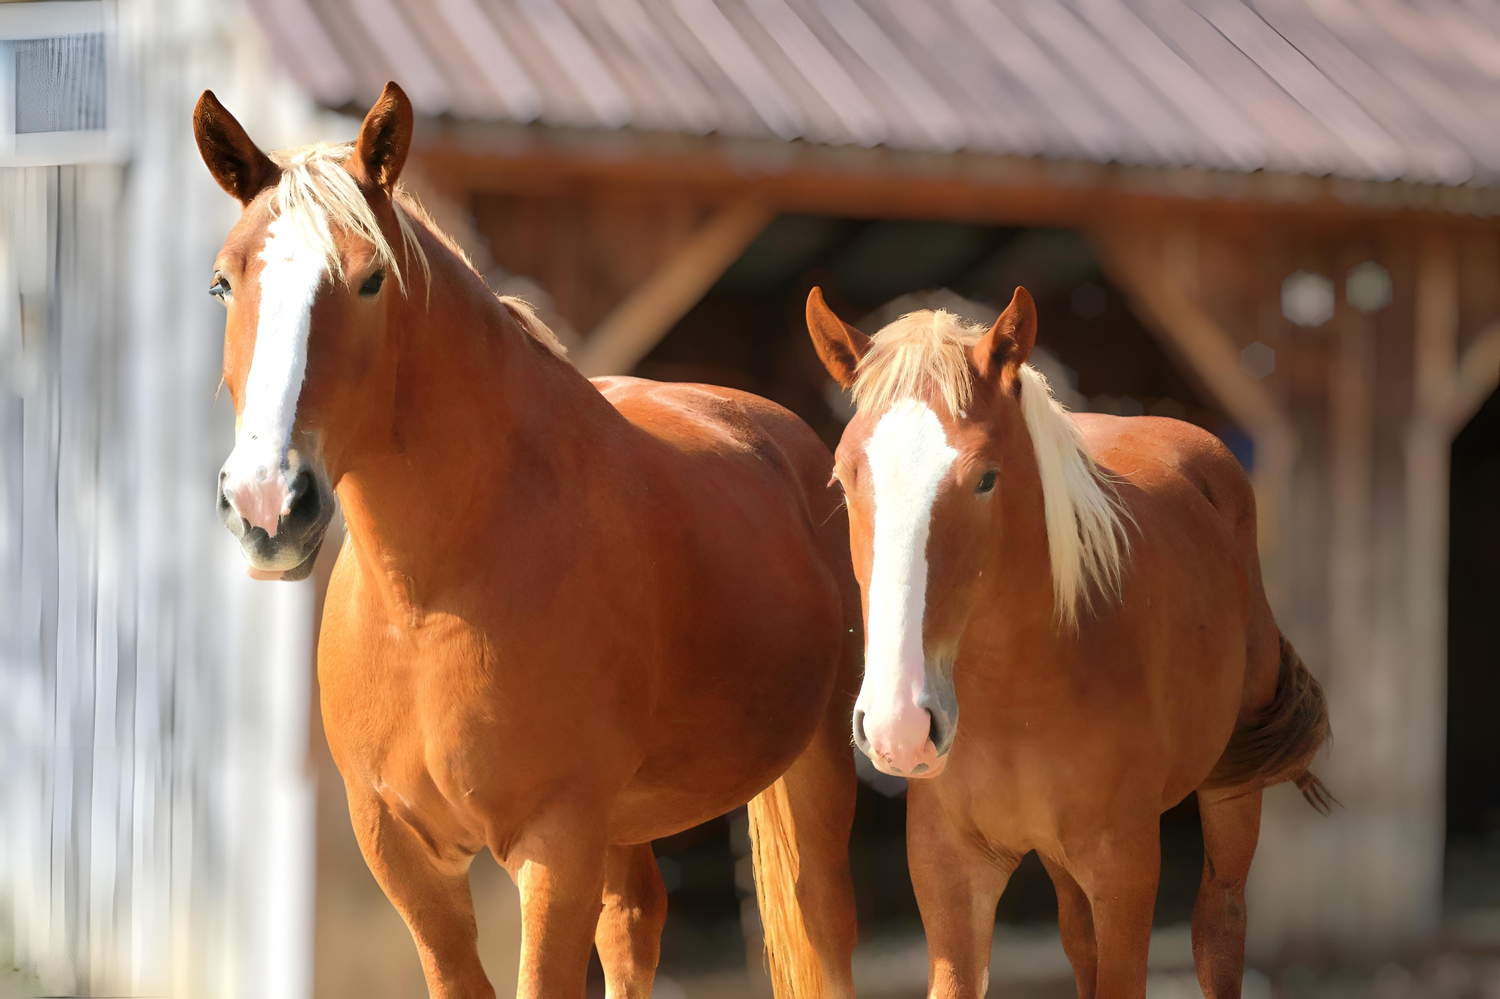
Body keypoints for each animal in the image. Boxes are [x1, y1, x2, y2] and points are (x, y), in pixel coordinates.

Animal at [194, 81, 862, 999]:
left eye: (370, 280)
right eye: (223, 284)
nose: (267, 502)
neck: (432, 597)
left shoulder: (554, 845)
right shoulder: (404, 853)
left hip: (814, 773)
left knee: (824, 926)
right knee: (634, 927)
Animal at [805, 286, 1331, 999]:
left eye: (986, 478)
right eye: (842, 479)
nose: (899, 727)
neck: (1019, 692)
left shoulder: (1124, 872)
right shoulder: (950, 872)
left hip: (1230, 796)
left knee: (1219, 928)